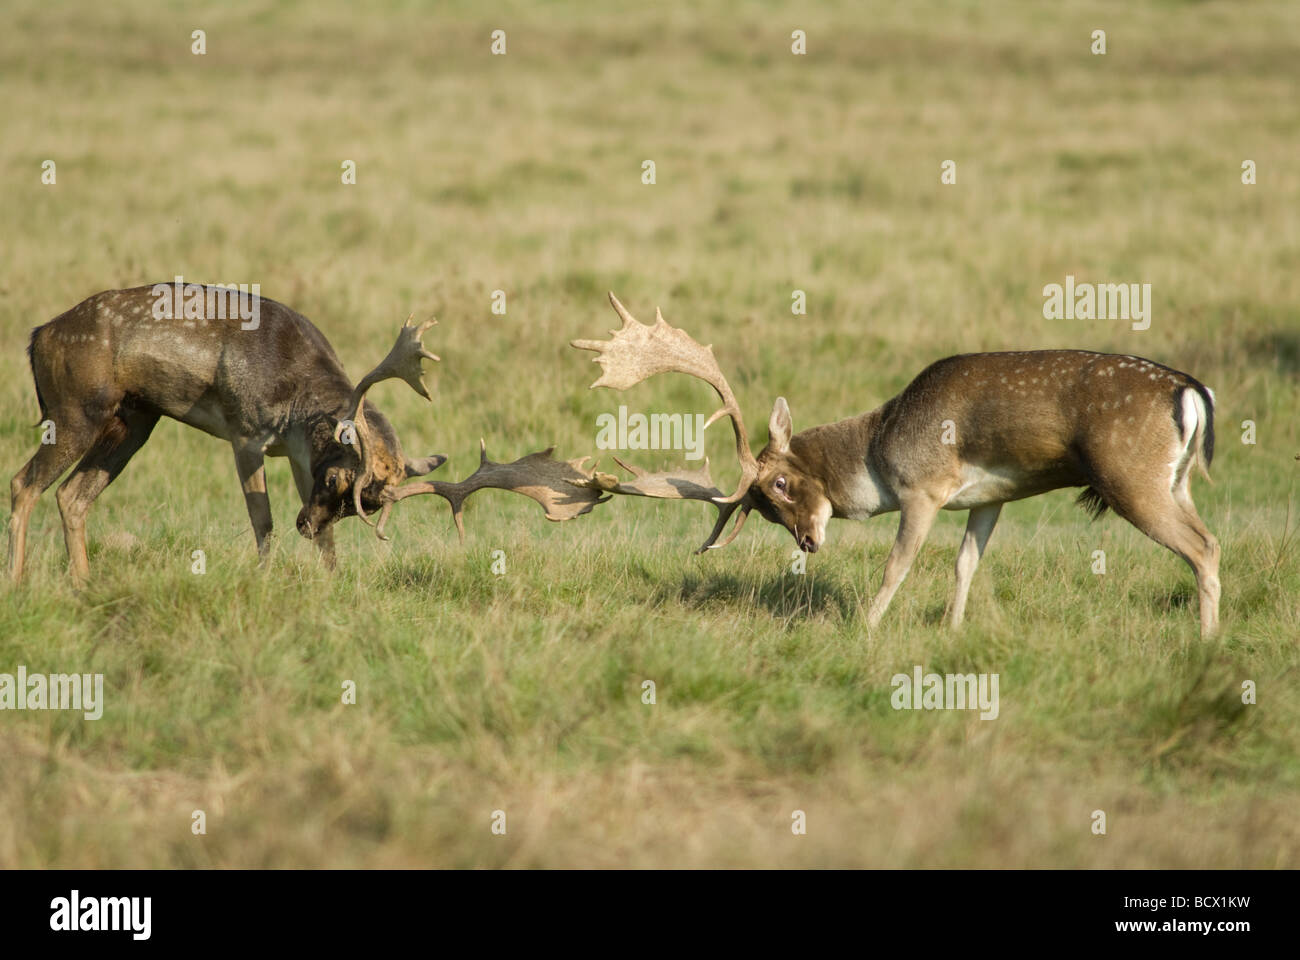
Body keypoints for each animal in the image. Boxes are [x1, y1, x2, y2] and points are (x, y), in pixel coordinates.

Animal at [8, 284, 607, 582]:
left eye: (361, 503)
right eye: (340, 480)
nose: (306, 522)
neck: (294, 393)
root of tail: (37, 337)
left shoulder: (292, 453)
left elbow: (325, 542)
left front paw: (331, 581)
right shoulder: (246, 432)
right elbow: (262, 520)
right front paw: (265, 577)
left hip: (133, 420)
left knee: (72, 495)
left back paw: (83, 585)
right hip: (74, 410)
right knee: (23, 483)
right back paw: (16, 582)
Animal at [572, 293, 1221, 637]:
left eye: (780, 483)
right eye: (763, 511)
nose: (808, 542)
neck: (879, 448)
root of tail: (1192, 392)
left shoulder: (924, 488)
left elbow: (896, 566)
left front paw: (864, 628)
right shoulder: (989, 497)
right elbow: (965, 564)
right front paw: (953, 631)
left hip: (1131, 477)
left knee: (1204, 547)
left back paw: (1207, 639)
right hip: (1177, 481)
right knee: (1208, 537)